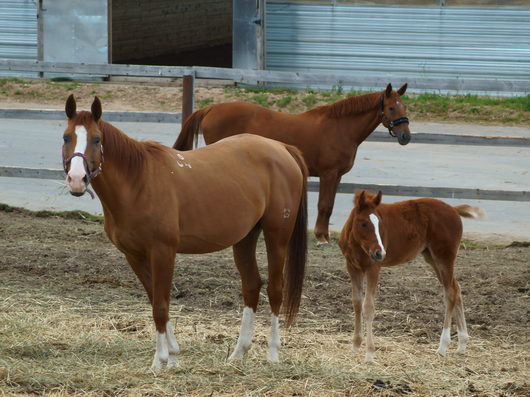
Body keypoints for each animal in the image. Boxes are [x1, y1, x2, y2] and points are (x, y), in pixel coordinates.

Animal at [62, 94, 308, 370]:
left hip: (277, 236)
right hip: (245, 238)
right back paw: (238, 352)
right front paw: (173, 357)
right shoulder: (134, 256)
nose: (76, 179)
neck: (138, 182)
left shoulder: (163, 252)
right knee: (251, 286)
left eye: (96, 139)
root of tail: (281, 148)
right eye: (66, 137)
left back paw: (273, 354)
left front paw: (159, 361)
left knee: (276, 289)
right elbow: (157, 301)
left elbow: (160, 306)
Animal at [172, 83, 408, 244]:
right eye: (391, 108)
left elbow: (330, 206)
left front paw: (324, 235)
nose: (406, 137)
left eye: (404, 107)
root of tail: (212, 107)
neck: (340, 127)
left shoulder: (337, 176)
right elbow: (324, 205)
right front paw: (321, 237)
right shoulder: (328, 174)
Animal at [338, 190, 482, 360]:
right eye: (363, 223)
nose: (380, 253)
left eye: (380, 224)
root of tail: (453, 209)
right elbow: (357, 303)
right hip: (431, 257)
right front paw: (355, 346)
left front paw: (369, 354)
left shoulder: (373, 268)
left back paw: (442, 347)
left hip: (444, 257)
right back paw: (462, 344)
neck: (356, 244)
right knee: (456, 287)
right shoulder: (353, 267)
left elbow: (368, 307)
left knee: (450, 292)